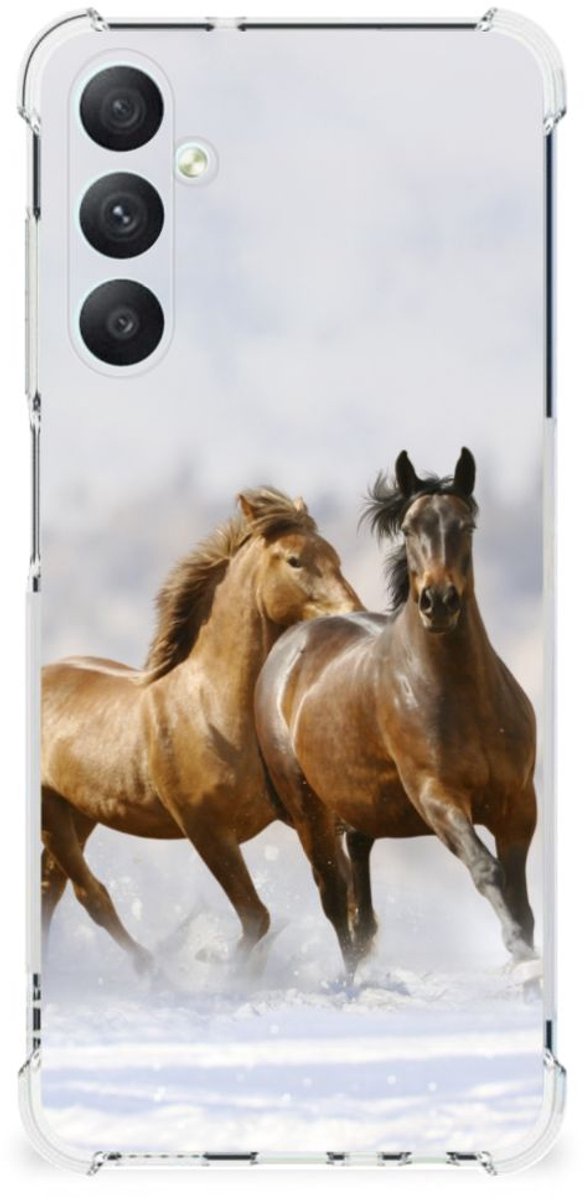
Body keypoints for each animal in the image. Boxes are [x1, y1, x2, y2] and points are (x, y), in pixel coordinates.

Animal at [41, 487, 362, 972]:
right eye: (295, 560)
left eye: (335, 556)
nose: (353, 614)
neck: (212, 708)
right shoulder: (206, 829)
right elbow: (256, 917)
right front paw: (222, 968)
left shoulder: (303, 815)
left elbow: (339, 895)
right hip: (52, 812)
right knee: (88, 894)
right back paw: (153, 969)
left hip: (78, 812)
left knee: (53, 887)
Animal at [255, 450, 538, 974]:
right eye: (408, 528)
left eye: (466, 525)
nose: (438, 602)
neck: (463, 698)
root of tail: (289, 645)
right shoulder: (437, 797)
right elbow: (487, 869)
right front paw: (518, 951)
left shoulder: (519, 805)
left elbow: (521, 896)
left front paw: (527, 954)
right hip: (309, 811)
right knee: (334, 897)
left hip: (359, 807)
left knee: (359, 893)